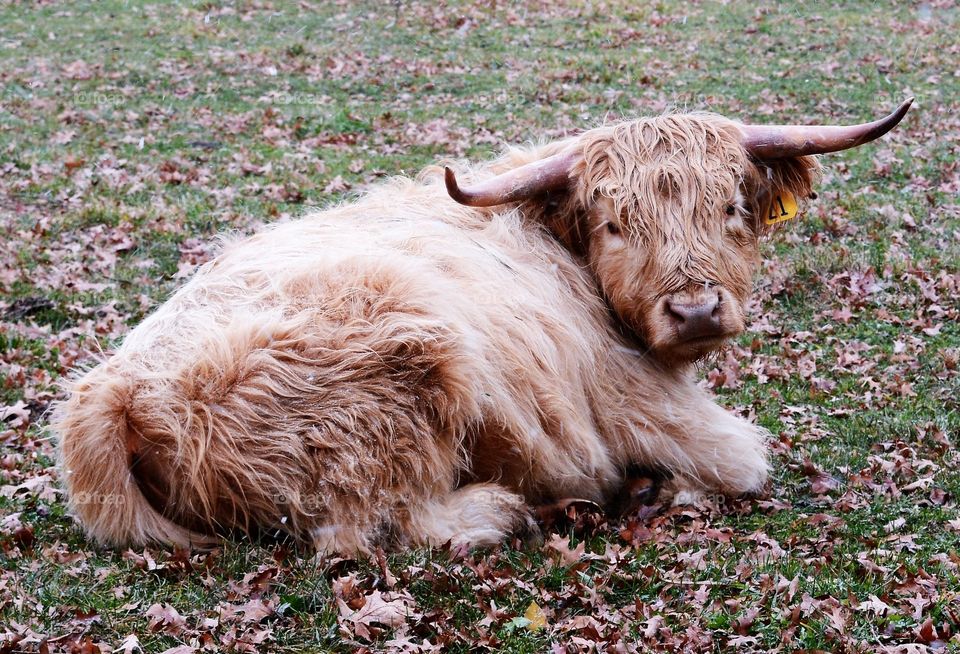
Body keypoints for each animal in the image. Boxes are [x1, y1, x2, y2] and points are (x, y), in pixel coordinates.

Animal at [52, 99, 912, 554]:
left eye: (731, 207)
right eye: (614, 224)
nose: (696, 309)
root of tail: (113, 390)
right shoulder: (646, 407)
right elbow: (745, 461)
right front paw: (654, 486)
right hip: (404, 381)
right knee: (370, 528)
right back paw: (510, 509)